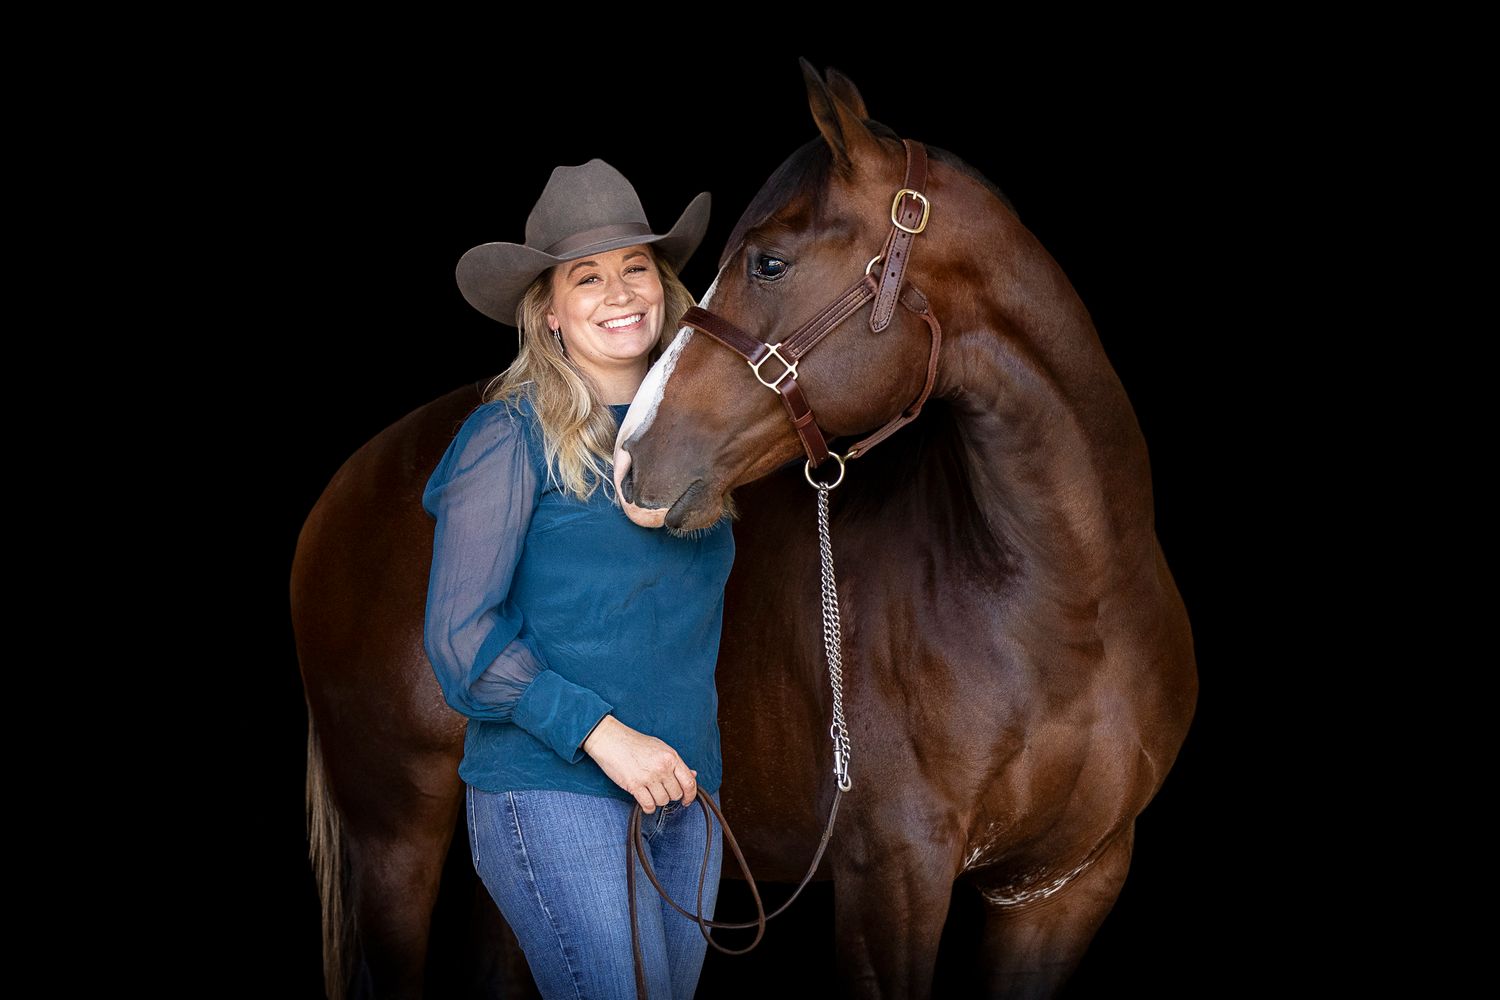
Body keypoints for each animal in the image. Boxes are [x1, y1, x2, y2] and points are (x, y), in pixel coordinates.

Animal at [291, 58, 1196, 998]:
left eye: (768, 263)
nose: (630, 459)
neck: (1071, 608)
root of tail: (345, 489)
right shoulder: (894, 879)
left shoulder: (1064, 888)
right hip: (394, 843)